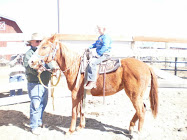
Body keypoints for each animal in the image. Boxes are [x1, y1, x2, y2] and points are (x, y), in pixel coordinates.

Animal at [28, 34, 158, 136]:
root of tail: (147, 66)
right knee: (142, 108)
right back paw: (130, 127)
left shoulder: (74, 94)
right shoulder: (81, 94)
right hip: (136, 95)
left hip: (134, 94)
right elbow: (81, 110)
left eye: (44, 47)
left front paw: (70, 131)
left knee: (141, 110)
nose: (31, 61)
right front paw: (80, 127)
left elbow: (74, 112)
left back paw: (138, 132)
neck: (75, 66)